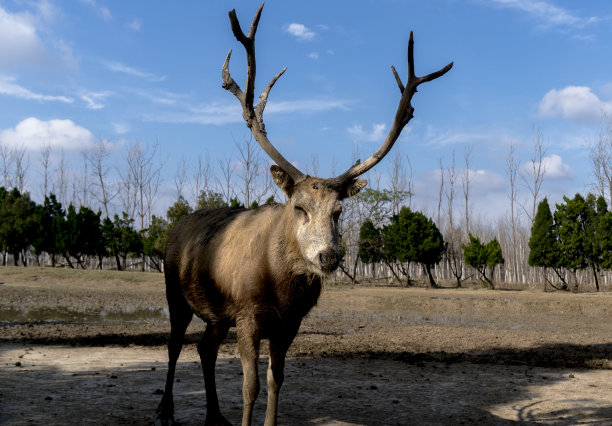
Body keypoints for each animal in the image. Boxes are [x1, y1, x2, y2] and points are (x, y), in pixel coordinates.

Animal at [155, 3, 452, 426]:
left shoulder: (289, 323)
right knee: (175, 345)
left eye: (339, 211)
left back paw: (214, 416)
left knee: (205, 349)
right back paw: (166, 410)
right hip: (175, 293)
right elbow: (250, 387)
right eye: (299, 207)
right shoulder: (247, 314)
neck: (279, 286)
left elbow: (276, 381)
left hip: (216, 314)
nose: (328, 257)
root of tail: (175, 226)